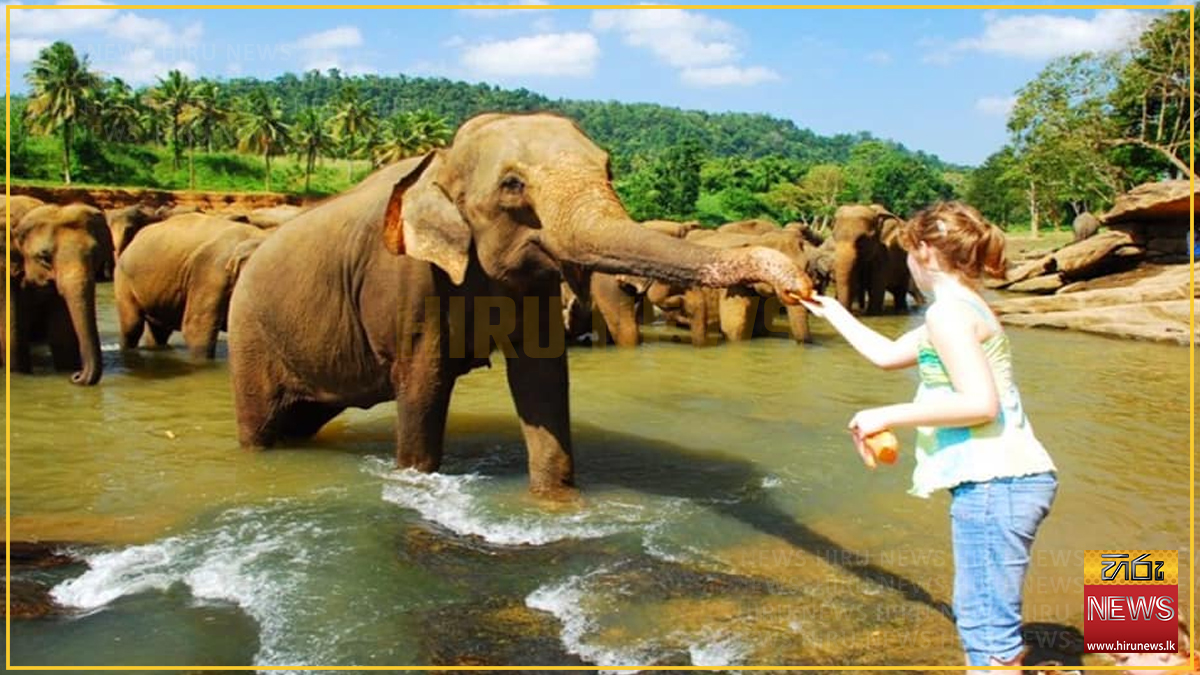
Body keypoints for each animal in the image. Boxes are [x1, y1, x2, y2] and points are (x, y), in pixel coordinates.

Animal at [3, 203, 106, 385]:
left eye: (96, 255)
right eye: (44, 257)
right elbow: (11, 338)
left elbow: (62, 337)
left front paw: (65, 372)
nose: (76, 376)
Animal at [227, 112, 812, 498]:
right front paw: (416, 481)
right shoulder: (407, 281)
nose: (801, 282)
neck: (442, 158)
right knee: (262, 428)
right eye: (512, 185)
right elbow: (423, 385)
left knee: (300, 421)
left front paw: (555, 502)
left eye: (609, 169)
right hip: (251, 335)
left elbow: (542, 381)